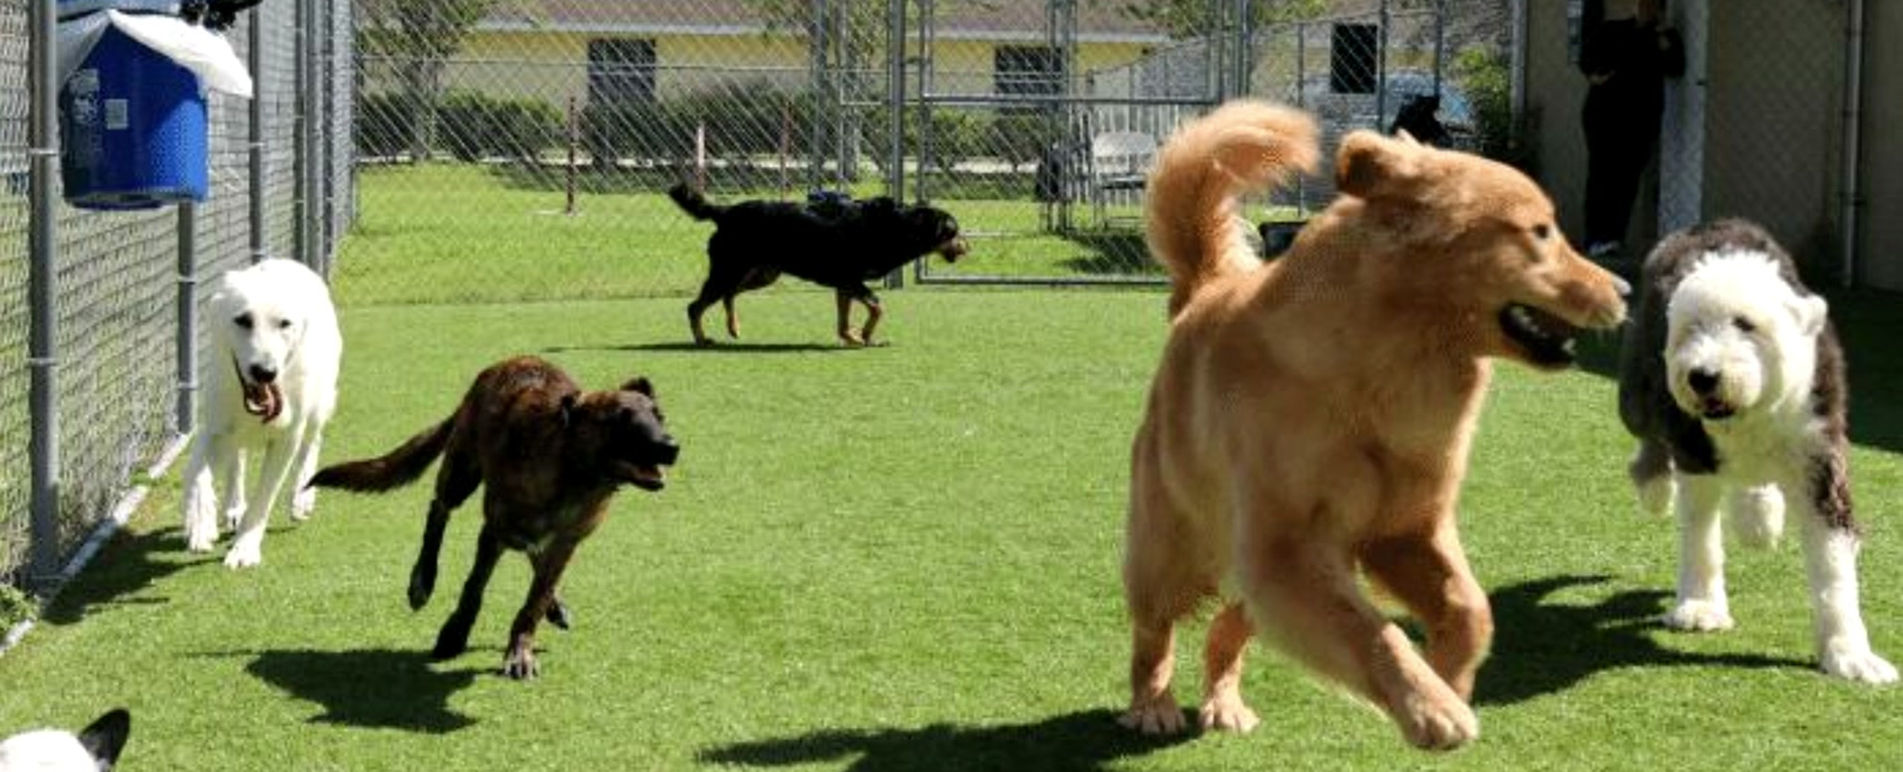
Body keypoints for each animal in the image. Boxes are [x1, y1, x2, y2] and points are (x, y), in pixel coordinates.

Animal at [181, 258, 342, 566]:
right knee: (237, 459)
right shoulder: (214, 428)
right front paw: (200, 524)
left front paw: (245, 548)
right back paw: (233, 507)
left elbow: (263, 499)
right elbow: (196, 473)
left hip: (318, 406)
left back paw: (301, 498)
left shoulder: (286, 439)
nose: (265, 372)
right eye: (243, 320)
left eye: (284, 324)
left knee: (312, 444)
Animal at [317, 353, 685, 676]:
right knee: (438, 509)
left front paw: (521, 648)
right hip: (461, 473)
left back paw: (554, 605)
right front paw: (454, 634)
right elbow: (473, 589)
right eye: (620, 419)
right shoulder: (493, 532)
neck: (572, 474)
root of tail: (505, 362)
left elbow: (534, 601)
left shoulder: (566, 542)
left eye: (659, 416)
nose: (671, 447)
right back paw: (423, 577)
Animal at [669, 182, 966, 346]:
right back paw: (701, 340)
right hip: (729, 270)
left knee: (728, 295)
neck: (898, 227)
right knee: (695, 307)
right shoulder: (849, 279)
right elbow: (877, 306)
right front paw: (865, 336)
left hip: (761, 273)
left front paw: (855, 338)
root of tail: (725, 212)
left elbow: (845, 320)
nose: (968, 247)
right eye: (953, 232)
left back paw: (734, 327)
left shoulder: (845, 284)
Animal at [1613, 216, 1895, 680]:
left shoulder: (1819, 452)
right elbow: (1701, 532)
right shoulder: (1693, 448)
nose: (1702, 376)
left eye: (1745, 324)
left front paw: (1850, 655)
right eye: (1692, 327)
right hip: (1638, 388)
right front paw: (1700, 607)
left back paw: (1759, 519)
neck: (1747, 415)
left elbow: (1833, 561)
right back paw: (1656, 490)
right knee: (1648, 436)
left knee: (1754, 478)